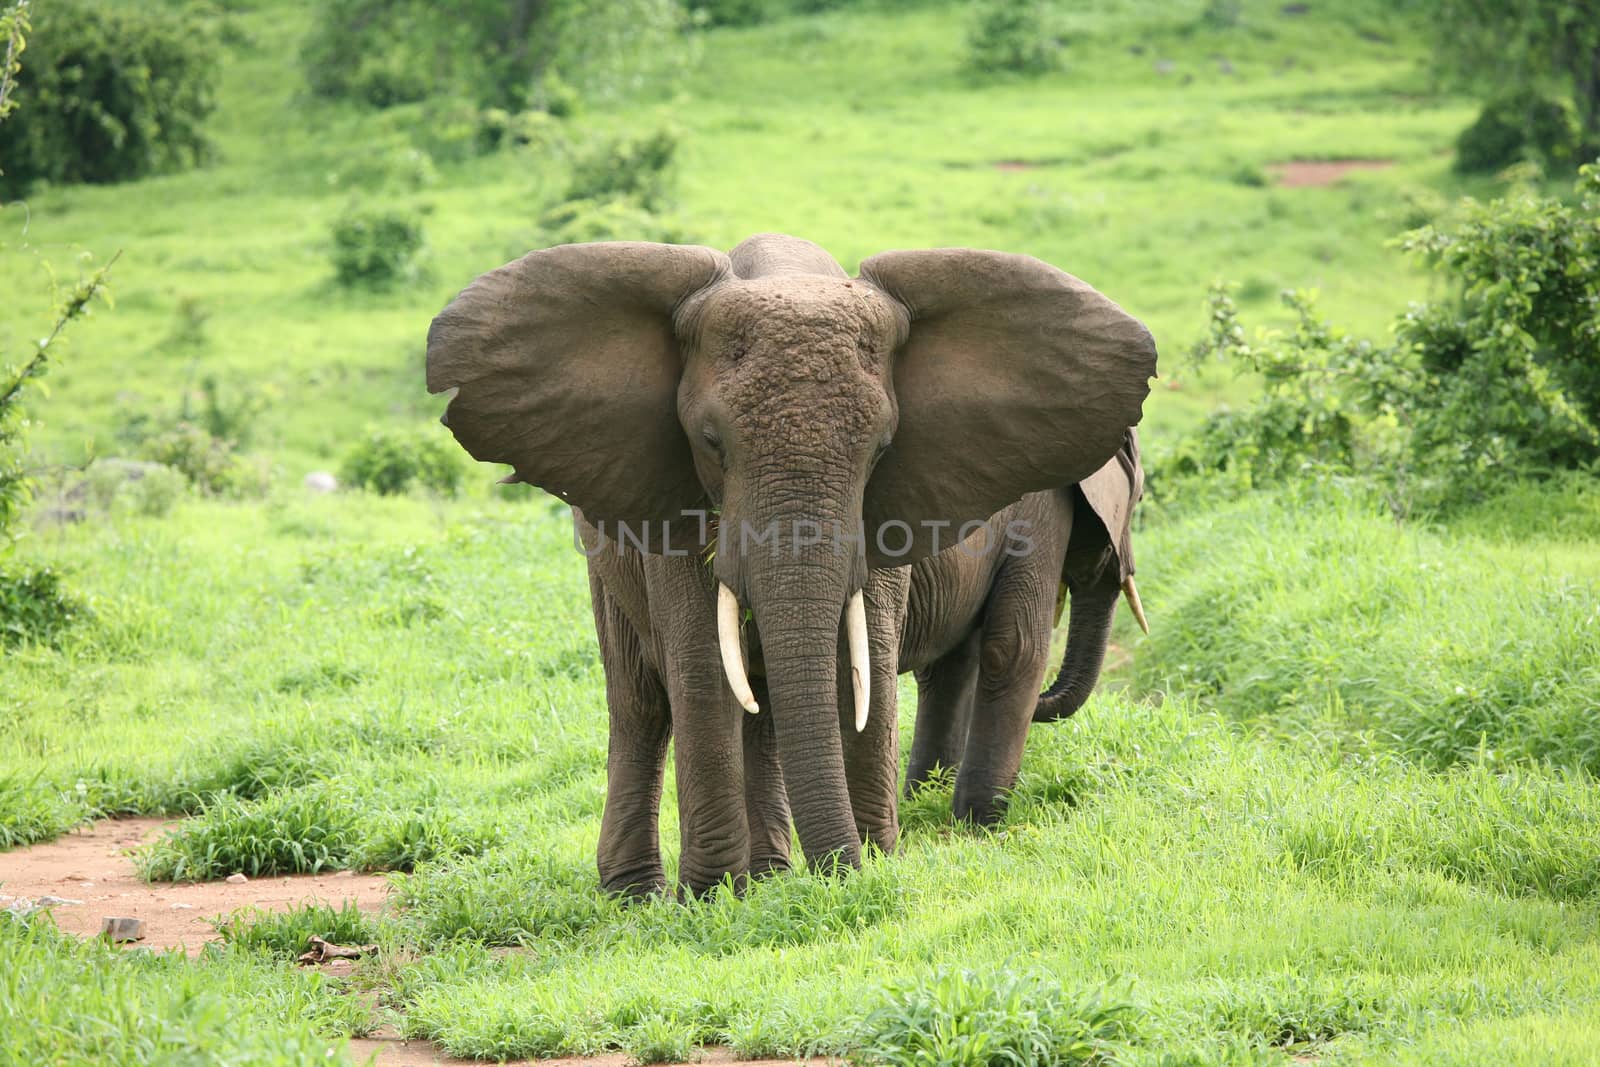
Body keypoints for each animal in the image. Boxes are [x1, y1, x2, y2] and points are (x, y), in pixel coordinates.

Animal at [896, 431, 1145, 825]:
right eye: (1140, 497)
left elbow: (949, 668)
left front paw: (923, 802)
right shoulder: (1040, 509)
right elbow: (1015, 649)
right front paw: (980, 827)